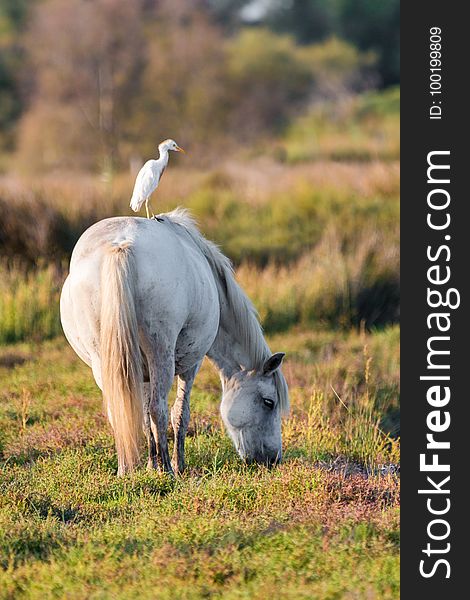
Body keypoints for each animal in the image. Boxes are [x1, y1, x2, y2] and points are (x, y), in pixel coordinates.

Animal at [58, 209, 286, 476]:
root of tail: (122, 245)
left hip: (104, 363)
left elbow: (144, 416)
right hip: (161, 355)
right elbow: (179, 413)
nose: (273, 459)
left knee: (123, 412)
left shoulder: (141, 372)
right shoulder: (192, 364)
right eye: (269, 402)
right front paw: (178, 465)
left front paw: (150, 463)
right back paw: (167, 469)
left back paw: (127, 470)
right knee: (160, 409)